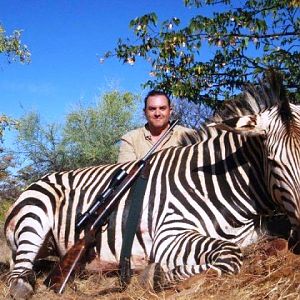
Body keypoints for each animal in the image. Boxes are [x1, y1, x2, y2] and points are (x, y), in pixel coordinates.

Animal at [4, 71, 300, 300]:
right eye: (272, 160)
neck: (221, 185)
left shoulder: (252, 234)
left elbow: (275, 244)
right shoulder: (170, 234)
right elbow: (230, 255)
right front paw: (157, 275)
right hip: (35, 215)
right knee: (17, 276)